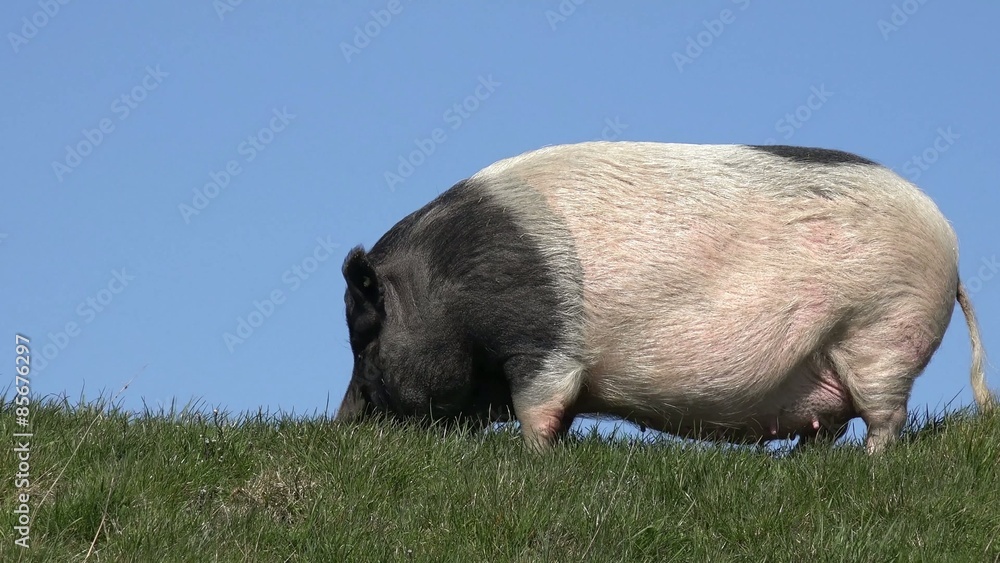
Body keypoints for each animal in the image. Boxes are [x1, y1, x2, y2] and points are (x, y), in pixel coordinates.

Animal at [337, 141, 994, 453]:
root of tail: (952, 249)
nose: (342, 424)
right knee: (829, 423)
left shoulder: (541, 342)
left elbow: (540, 407)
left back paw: (868, 465)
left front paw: (537, 459)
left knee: (886, 416)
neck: (444, 287)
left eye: (363, 339)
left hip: (881, 328)